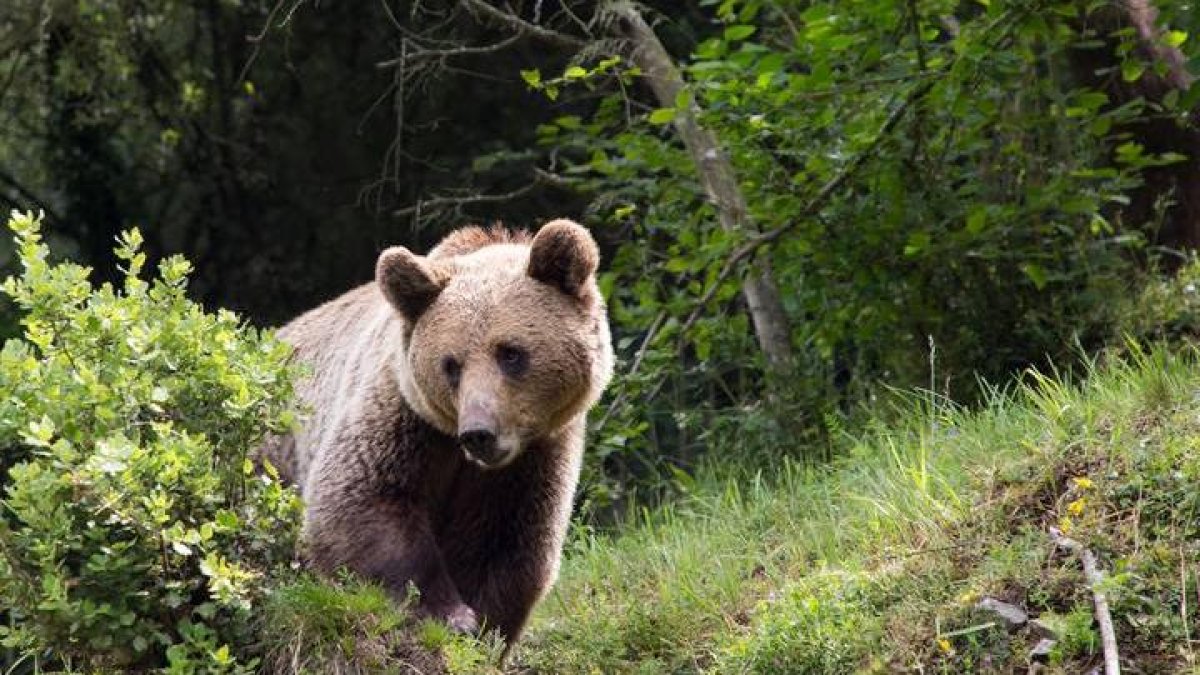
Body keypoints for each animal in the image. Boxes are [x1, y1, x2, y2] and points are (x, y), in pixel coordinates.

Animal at [260, 219, 614, 647]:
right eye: (451, 364)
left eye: (511, 353)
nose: (478, 433)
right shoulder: (404, 418)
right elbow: (359, 502)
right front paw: (449, 614)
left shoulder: (534, 458)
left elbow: (507, 541)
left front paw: (482, 624)